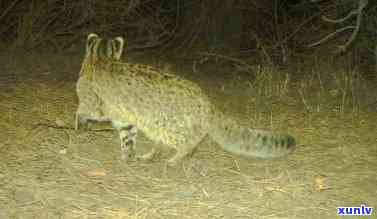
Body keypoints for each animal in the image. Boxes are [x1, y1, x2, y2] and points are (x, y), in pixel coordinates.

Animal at [75, 33, 296, 166]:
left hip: (166, 123)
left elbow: (82, 111)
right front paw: (128, 156)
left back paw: (176, 157)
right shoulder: (125, 117)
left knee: (190, 141)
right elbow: (127, 137)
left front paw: (79, 124)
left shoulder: (94, 104)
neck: (101, 58)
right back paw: (152, 154)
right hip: (156, 124)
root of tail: (206, 101)